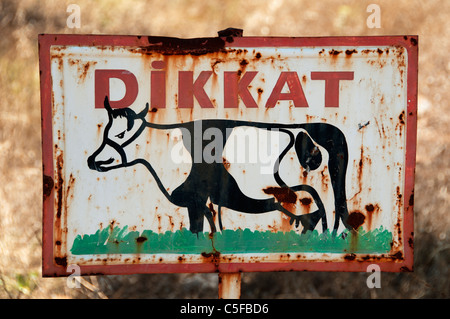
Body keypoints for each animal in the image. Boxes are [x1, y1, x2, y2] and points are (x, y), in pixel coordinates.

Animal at [86, 97, 350, 235]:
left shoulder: (196, 199)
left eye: (120, 134)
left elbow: (196, 231)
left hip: (309, 188)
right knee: (314, 215)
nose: (92, 160)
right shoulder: (202, 203)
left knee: (326, 211)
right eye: (106, 131)